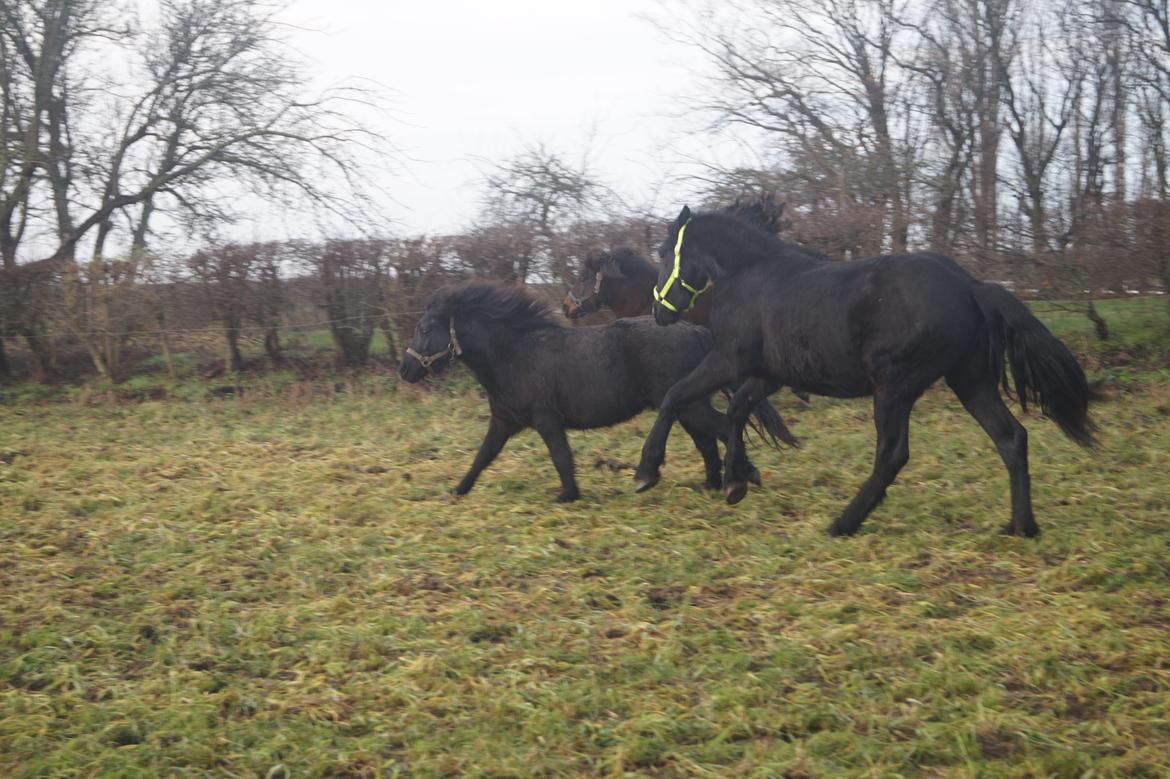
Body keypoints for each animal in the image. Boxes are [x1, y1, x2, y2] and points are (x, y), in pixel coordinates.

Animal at [400, 279, 795, 502]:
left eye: (424, 329)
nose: (405, 370)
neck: (515, 353)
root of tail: (697, 332)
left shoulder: (546, 419)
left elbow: (561, 456)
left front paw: (567, 496)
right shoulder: (504, 421)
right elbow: (482, 458)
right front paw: (456, 492)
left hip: (689, 405)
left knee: (723, 429)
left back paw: (739, 478)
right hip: (687, 405)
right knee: (707, 441)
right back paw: (713, 483)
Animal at [636, 203, 1090, 538]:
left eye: (662, 252)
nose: (658, 312)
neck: (751, 276)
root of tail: (969, 284)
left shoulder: (729, 359)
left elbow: (675, 397)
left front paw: (646, 472)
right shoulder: (769, 374)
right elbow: (736, 411)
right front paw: (736, 483)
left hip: (893, 388)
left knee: (892, 455)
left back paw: (843, 522)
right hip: (970, 382)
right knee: (1011, 437)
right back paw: (1020, 527)